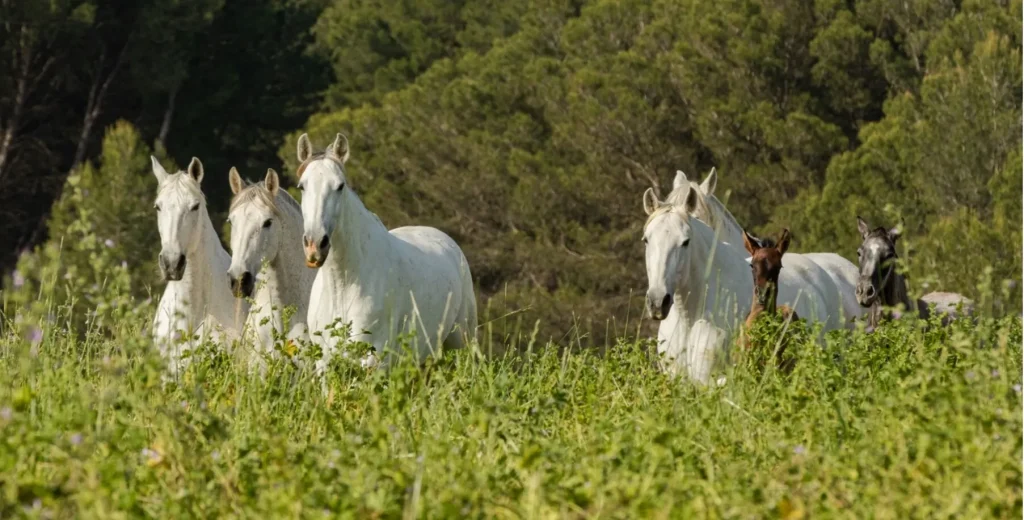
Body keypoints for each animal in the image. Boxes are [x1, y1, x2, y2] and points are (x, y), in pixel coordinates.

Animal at [294, 133, 478, 377]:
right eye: (302, 186)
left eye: (340, 186)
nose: (315, 245)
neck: (343, 287)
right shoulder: (325, 363)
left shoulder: (374, 363)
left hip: (462, 342)